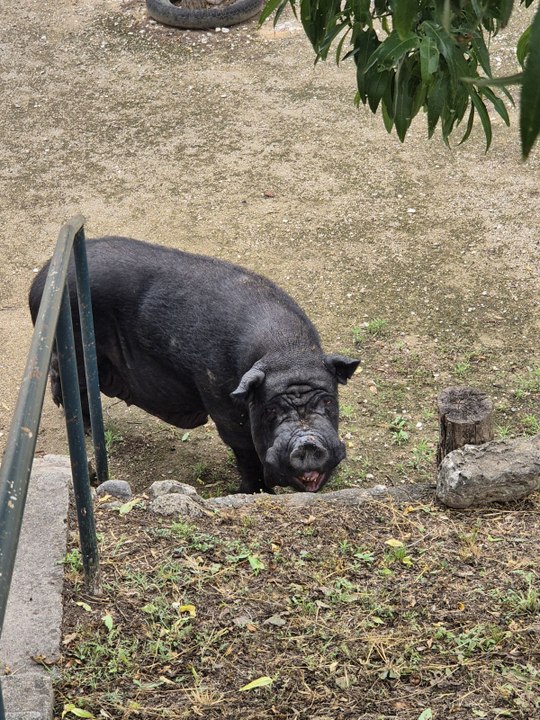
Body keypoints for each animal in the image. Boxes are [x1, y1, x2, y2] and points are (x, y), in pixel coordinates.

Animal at [29, 237, 359, 493]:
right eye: (271, 410)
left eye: (328, 401)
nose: (308, 442)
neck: (287, 351)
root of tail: (42, 278)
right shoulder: (221, 401)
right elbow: (245, 452)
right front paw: (252, 492)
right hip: (76, 348)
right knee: (72, 384)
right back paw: (83, 428)